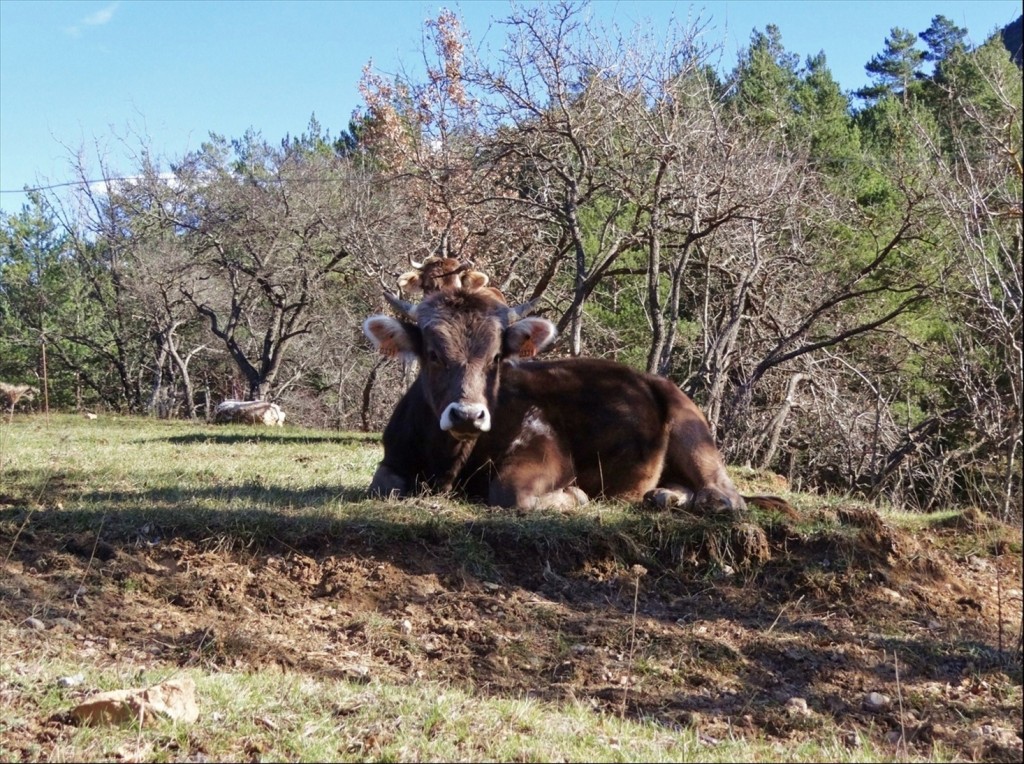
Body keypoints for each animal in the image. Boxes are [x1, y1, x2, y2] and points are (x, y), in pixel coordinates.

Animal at [364, 286, 794, 518]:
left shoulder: (544, 447)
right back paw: (664, 495)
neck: (449, 465)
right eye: (433, 354)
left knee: (727, 496)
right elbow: (382, 486)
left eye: (496, 357)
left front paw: (574, 495)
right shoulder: (393, 459)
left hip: (693, 431)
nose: (468, 414)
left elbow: (510, 494)